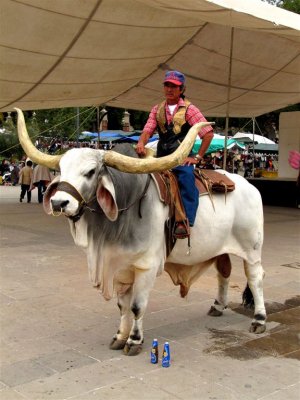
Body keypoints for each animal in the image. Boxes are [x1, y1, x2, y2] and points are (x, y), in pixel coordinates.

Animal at [15, 108, 266, 356]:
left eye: (91, 171)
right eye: (61, 170)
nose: (59, 203)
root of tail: (248, 185)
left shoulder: (146, 266)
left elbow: (137, 306)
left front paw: (134, 340)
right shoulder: (121, 265)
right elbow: (122, 306)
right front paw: (119, 336)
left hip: (252, 249)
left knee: (255, 278)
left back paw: (259, 319)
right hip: (219, 247)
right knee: (224, 271)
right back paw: (218, 305)